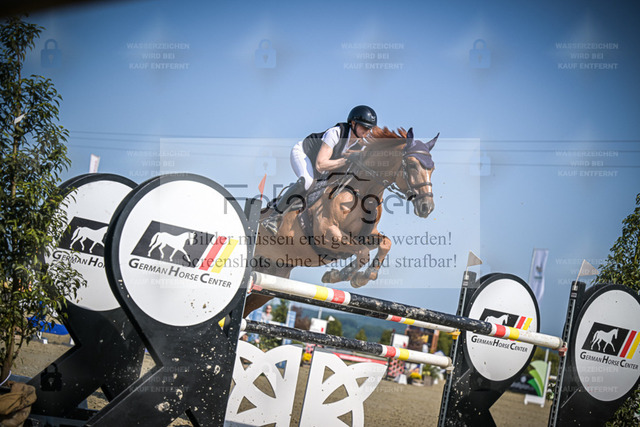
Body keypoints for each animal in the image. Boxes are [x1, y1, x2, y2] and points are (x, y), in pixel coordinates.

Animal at [244, 126, 438, 316]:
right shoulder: (327, 234)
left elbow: (385, 244)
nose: (427, 207)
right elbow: (362, 252)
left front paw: (364, 276)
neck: (362, 192)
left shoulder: (365, 236)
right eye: (412, 164)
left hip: (271, 277)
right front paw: (340, 274)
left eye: (432, 169)